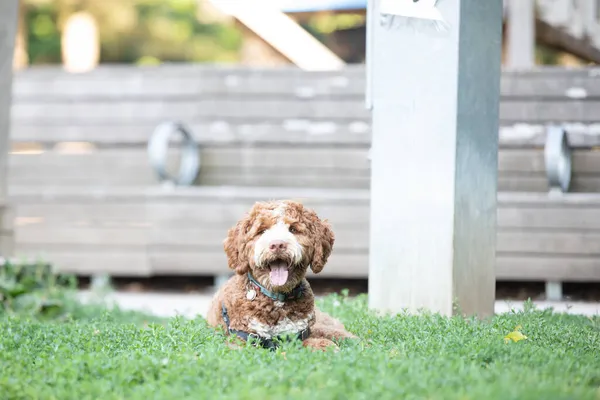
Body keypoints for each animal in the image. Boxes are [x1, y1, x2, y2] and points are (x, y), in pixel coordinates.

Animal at [206, 200, 356, 350]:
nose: (277, 245)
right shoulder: (242, 339)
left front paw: (327, 346)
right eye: (262, 231)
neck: (277, 298)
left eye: (293, 229)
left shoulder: (300, 333)